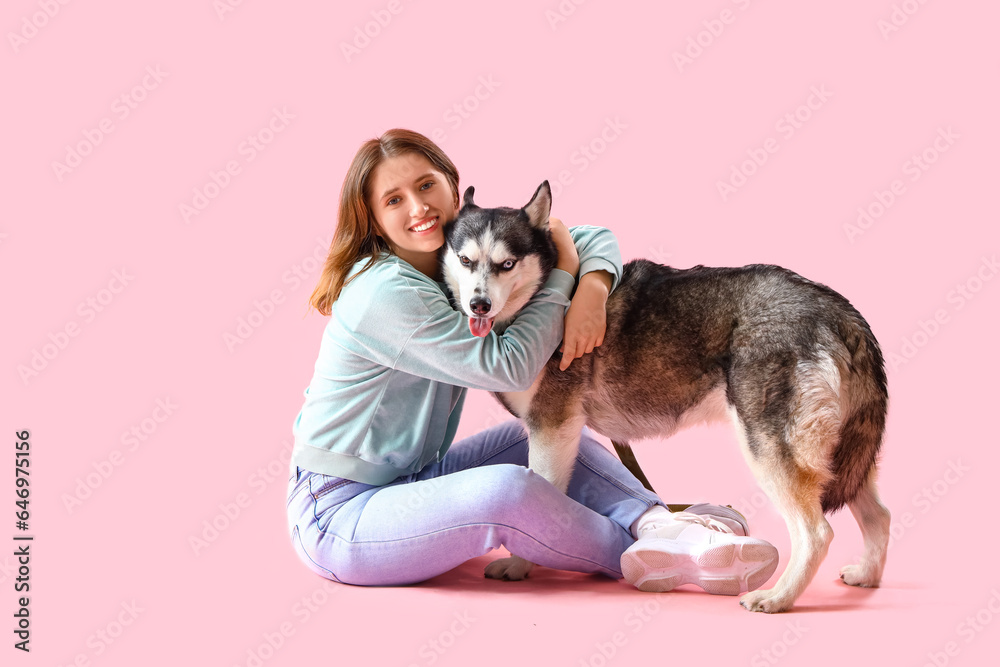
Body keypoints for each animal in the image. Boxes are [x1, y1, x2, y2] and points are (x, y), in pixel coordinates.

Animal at [442, 180, 896, 612]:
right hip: (843, 457)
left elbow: (538, 499)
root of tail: (837, 309)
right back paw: (866, 576)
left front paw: (519, 565)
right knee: (879, 516)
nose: (478, 304)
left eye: (506, 264)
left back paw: (778, 597)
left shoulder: (552, 429)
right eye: (465, 261)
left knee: (816, 532)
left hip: (769, 449)